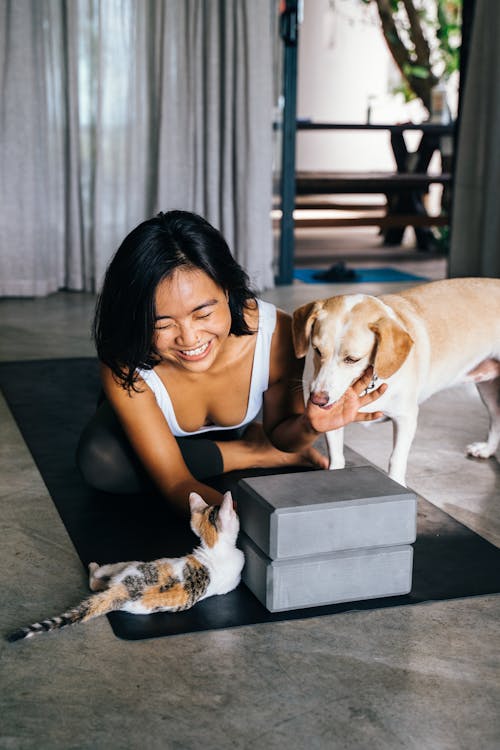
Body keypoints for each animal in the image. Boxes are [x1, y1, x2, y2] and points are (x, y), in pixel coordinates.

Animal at [6, 490, 243, 644]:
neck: (214, 548)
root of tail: (123, 591)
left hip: (127, 566)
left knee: (96, 582)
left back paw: (93, 567)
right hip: (130, 565)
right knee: (95, 580)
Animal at [292, 278, 500, 488]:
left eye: (352, 359)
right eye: (317, 350)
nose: (317, 400)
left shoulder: (406, 418)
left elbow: (396, 458)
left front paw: (396, 482)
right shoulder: (333, 420)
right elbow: (336, 457)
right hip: (488, 391)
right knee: (496, 418)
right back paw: (487, 449)